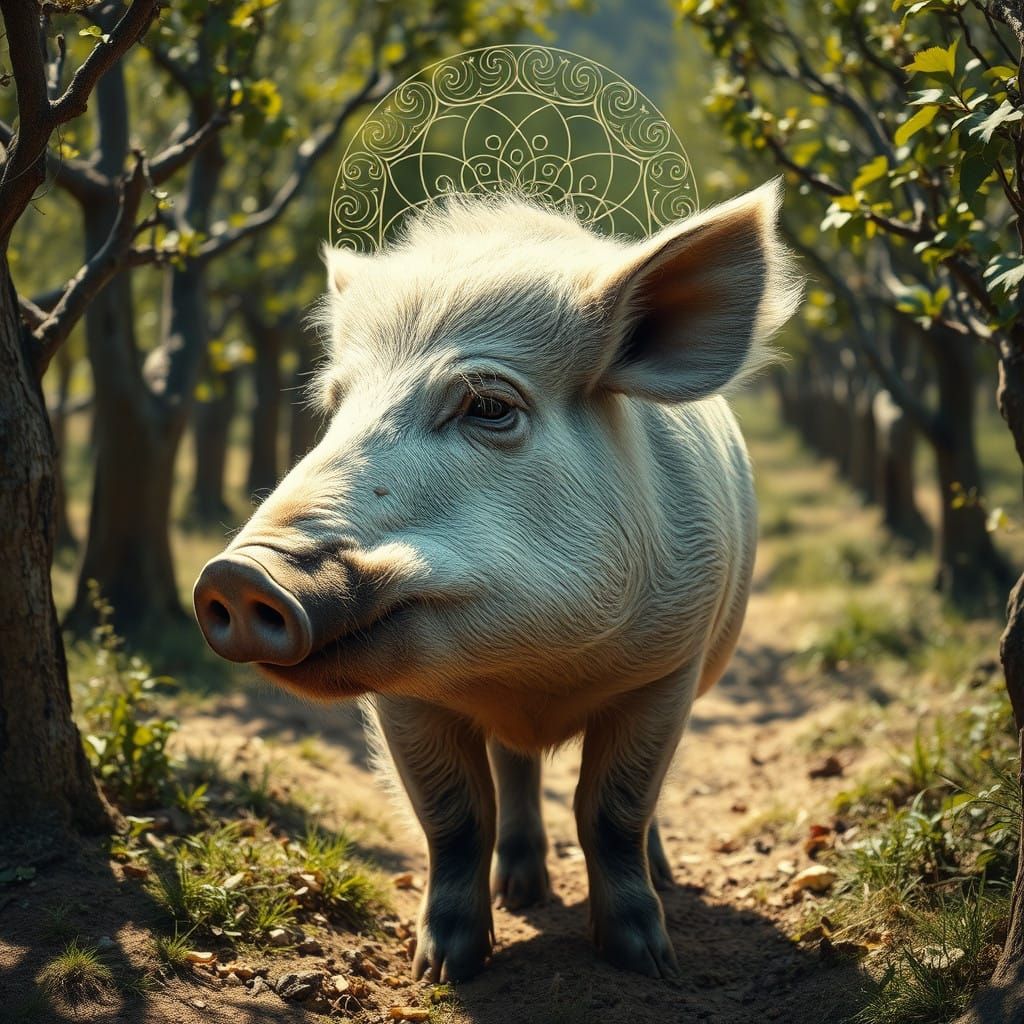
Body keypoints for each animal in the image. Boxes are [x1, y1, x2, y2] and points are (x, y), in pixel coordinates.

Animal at [193, 179, 799, 983]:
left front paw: (646, 961)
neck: (527, 671)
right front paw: (442, 969)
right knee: (514, 772)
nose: (236, 573)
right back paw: (521, 891)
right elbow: (454, 820)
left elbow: (612, 811)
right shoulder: (403, 702)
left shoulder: (669, 667)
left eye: (489, 405)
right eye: (334, 408)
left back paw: (659, 881)